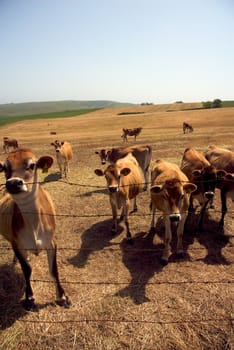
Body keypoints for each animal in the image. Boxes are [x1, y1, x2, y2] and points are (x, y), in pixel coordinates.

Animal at [0, 148, 70, 312]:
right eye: (5, 168)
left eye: (32, 165)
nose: (13, 183)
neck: (34, 225)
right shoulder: (17, 244)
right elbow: (27, 270)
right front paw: (30, 299)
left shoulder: (52, 242)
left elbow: (53, 269)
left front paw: (62, 298)